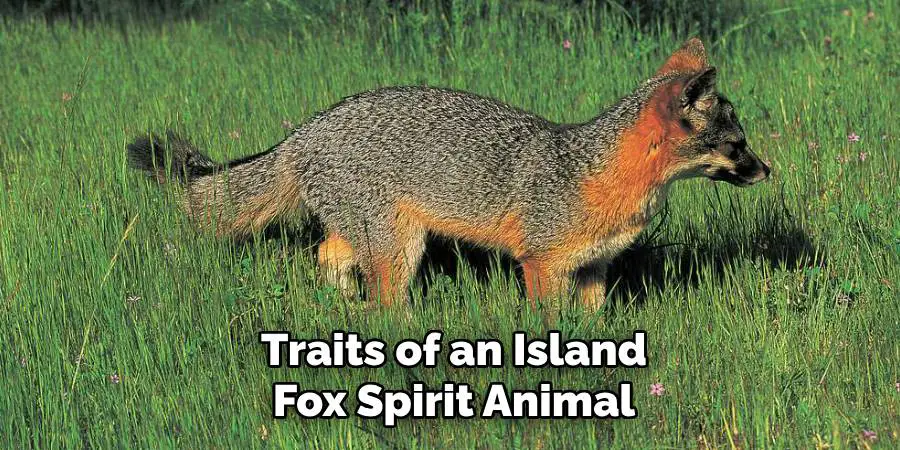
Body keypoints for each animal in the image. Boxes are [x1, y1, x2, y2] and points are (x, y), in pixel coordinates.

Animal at [128, 38, 769, 311]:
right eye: (737, 145)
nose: (767, 169)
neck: (599, 171)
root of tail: (309, 127)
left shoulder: (593, 268)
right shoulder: (541, 265)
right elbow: (548, 325)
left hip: (366, 237)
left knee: (327, 259)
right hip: (399, 250)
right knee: (386, 305)